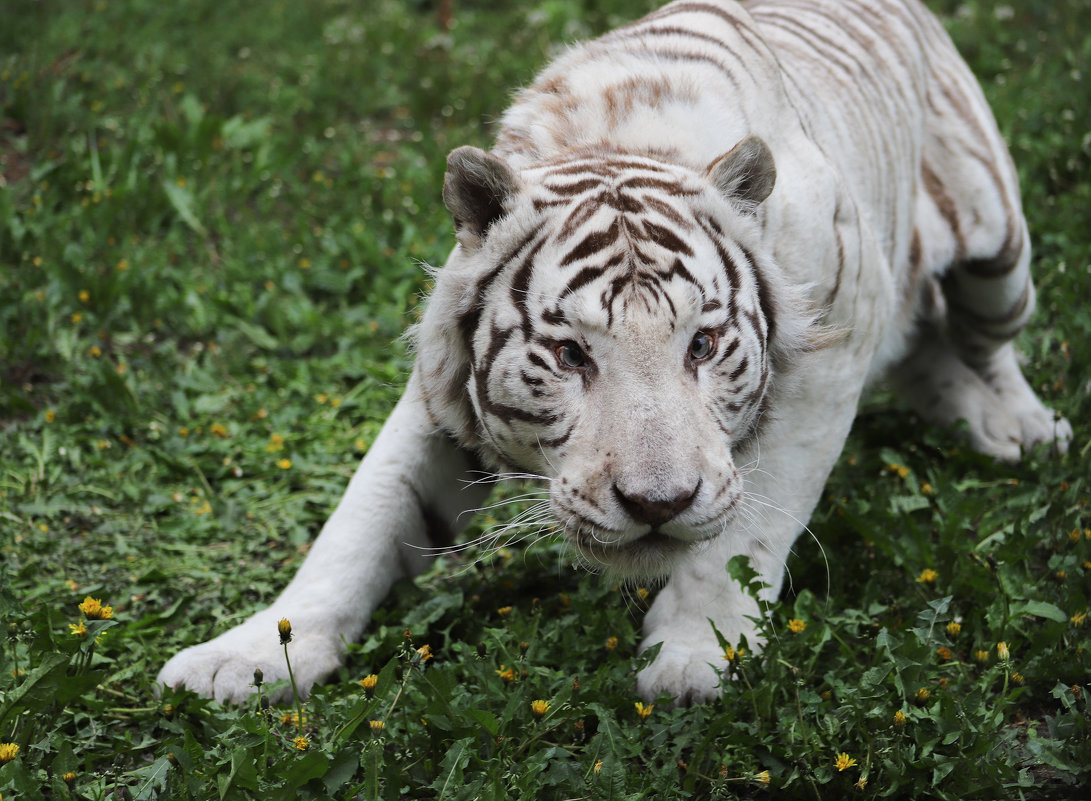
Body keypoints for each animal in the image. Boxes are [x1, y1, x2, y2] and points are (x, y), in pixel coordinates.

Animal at [156, 0, 1073, 702]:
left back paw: (1018, 427)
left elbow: (752, 522)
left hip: (997, 241)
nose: (656, 503)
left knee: (982, 338)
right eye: (569, 356)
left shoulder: (837, 335)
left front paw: (695, 654)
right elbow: (362, 518)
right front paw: (249, 656)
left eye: (702, 344)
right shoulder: (439, 390)